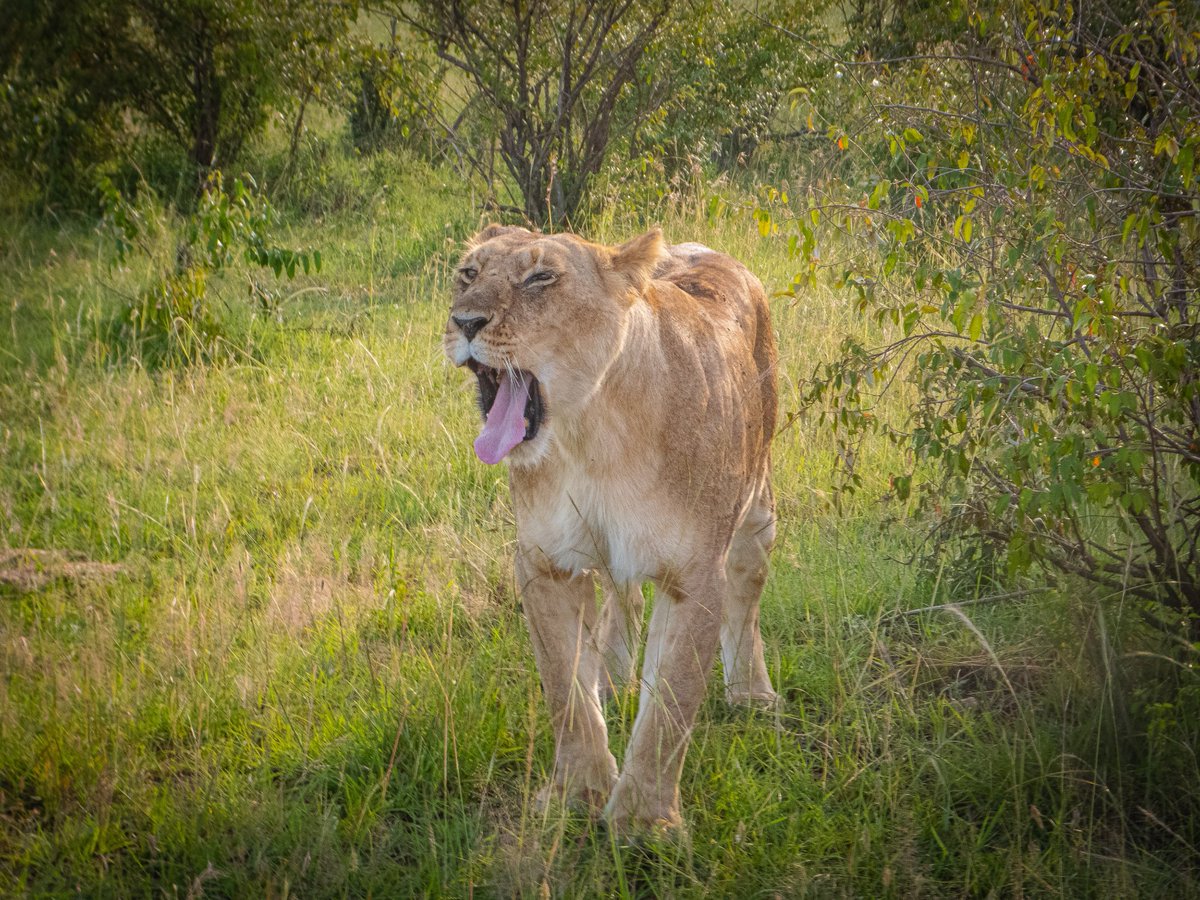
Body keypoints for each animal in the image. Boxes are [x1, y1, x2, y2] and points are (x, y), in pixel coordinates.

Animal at [444, 225, 777, 830]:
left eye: (540, 278)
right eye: (468, 274)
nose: (464, 322)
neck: (591, 434)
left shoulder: (696, 575)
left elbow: (670, 704)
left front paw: (643, 824)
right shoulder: (544, 563)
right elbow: (564, 688)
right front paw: (578, 792)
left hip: (758, 507)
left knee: (747, 595)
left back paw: (752, 693)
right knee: (622, 594)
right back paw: (610, 674)